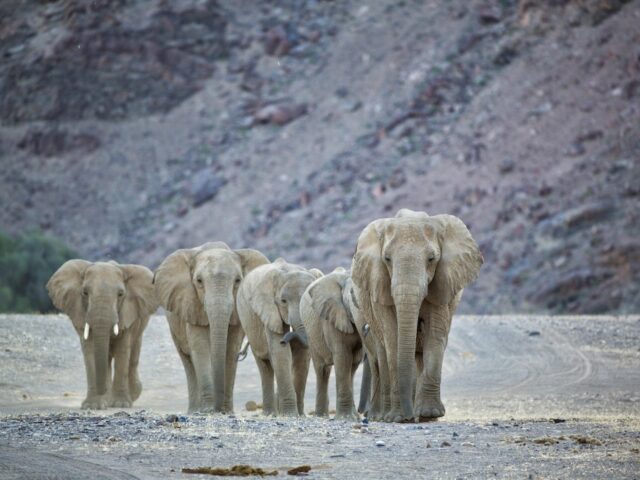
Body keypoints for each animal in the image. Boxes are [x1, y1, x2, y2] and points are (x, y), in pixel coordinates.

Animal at [46, 258, 159, 408]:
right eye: (85, 292)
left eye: (121, 294)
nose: (102, 391)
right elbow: (90, 350)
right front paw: (92, 406)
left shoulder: (128, 313)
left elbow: (122, 350)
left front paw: (121, 405)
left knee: (133, 354)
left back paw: (131, 394)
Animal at [154, 242, 268, 414]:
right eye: (199, 281)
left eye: (238, 280)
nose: (218, 409)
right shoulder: (191, 303)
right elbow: (200, 347)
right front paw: (208, 409)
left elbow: (230, 349)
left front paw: (226, 411)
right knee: (187, 361)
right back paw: (194, 411)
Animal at [238, 258, 322, 416]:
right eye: (283, 301)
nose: (285, 340)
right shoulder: (269, 309)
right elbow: (279, 351)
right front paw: (290, 414)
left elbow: (302, 354)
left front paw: (300, 415)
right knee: (264, 366)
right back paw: (270, 413)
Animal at [298, 266, 362, 420]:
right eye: (351, 298)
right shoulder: (331, 316)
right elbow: (343, 356)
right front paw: (346, 418)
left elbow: (354, 361)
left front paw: (354, 417)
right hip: (311, 333)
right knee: (322, 369)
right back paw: (321, 416)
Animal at [352, 208, 482, 422]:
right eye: (387, 259)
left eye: (431, 259)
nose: (409, 416)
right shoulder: (380, 286)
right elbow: (393, 337)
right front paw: (398, 418)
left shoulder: (443, 285)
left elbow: (435, 334)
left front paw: (430, 415)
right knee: (383, 352)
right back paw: (387, 415)